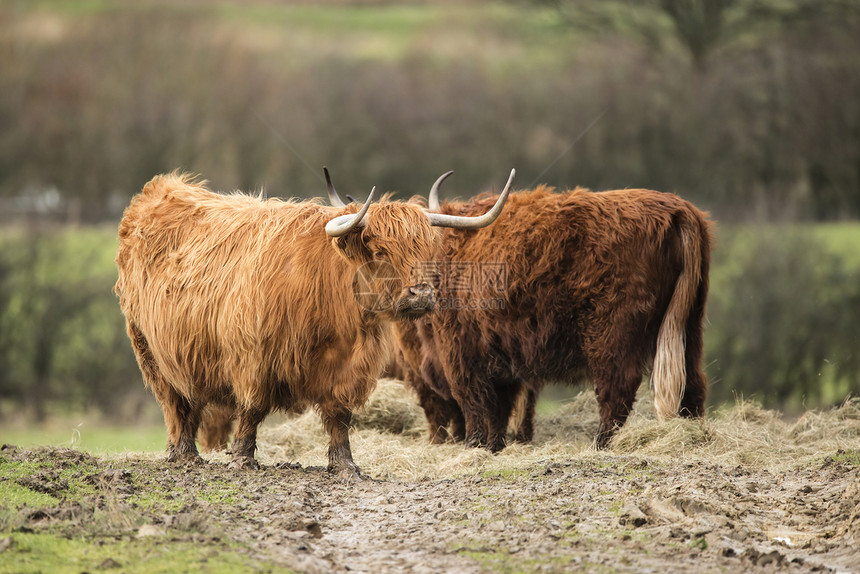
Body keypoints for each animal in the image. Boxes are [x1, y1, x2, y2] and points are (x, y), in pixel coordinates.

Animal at [390, 180, 712, 454]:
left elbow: (474, 401)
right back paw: (692, 438)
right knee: (693, 383)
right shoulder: (501, 354)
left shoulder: (461, 348)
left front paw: (474, 446)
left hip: (611, 333)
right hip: (689, 325)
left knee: (616, 389)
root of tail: (676, 209)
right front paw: (494, 447)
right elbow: (499, 407)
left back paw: (601, 445)